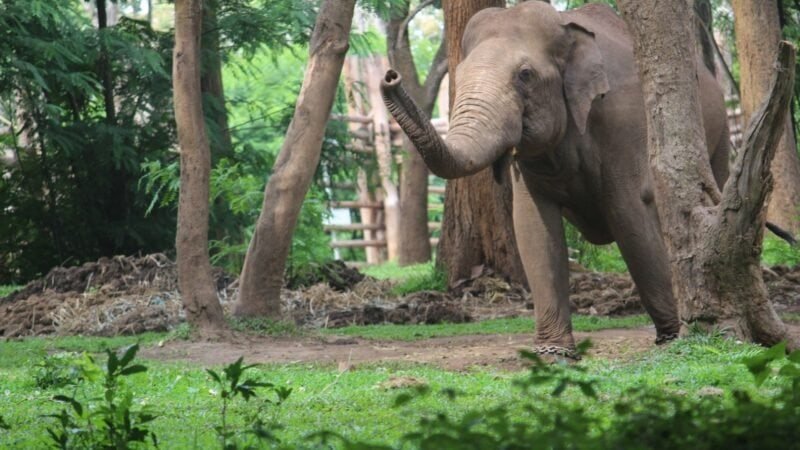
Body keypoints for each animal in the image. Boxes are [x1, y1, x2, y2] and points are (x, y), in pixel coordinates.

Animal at [380, 1, 732, 358]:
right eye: (459, 74)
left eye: (525, 75)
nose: (390, 76)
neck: (567, 30)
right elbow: (532, 226)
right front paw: (554, 355)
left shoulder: (624, 123)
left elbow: (628, 213)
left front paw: (673, 337)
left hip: (718, 136)